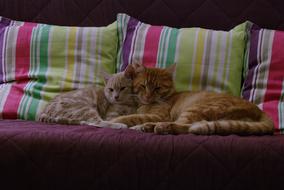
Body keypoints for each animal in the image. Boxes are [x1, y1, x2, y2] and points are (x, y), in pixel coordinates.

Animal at [111, 63, 276, 135]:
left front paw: (115, 121)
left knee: (184, 126)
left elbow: (132, 117)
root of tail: (259, 110)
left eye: (157, 88)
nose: (148, 96)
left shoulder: (160, 115)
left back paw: (158, 127)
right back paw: (147, 127)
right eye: (143, 86)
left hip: (196, 108)